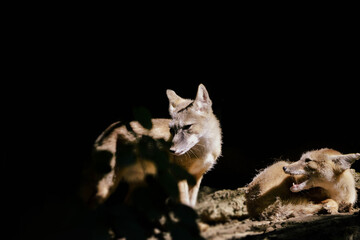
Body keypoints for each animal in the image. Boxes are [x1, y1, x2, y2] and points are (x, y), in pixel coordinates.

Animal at [82, 83, 222, 207]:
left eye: (187, 127)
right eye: (172, 130)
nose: (172, 150)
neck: (204, 152)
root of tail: (106, 131)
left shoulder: (197, 177)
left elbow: (191, 206)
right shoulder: (179, 177)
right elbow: (185, 204)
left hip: (137, 186)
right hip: (107, 187)